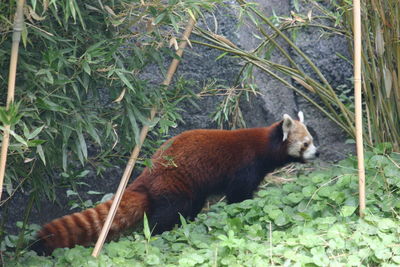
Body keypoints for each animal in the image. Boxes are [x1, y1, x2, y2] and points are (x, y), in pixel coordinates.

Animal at [30, 112, 318, 256]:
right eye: (305, 144)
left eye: (312, 141)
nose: (317, 153)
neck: (264, 145)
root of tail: (146, 172)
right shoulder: (244, 168)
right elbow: (239, 198)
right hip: (173, 185)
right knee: (165, 215)